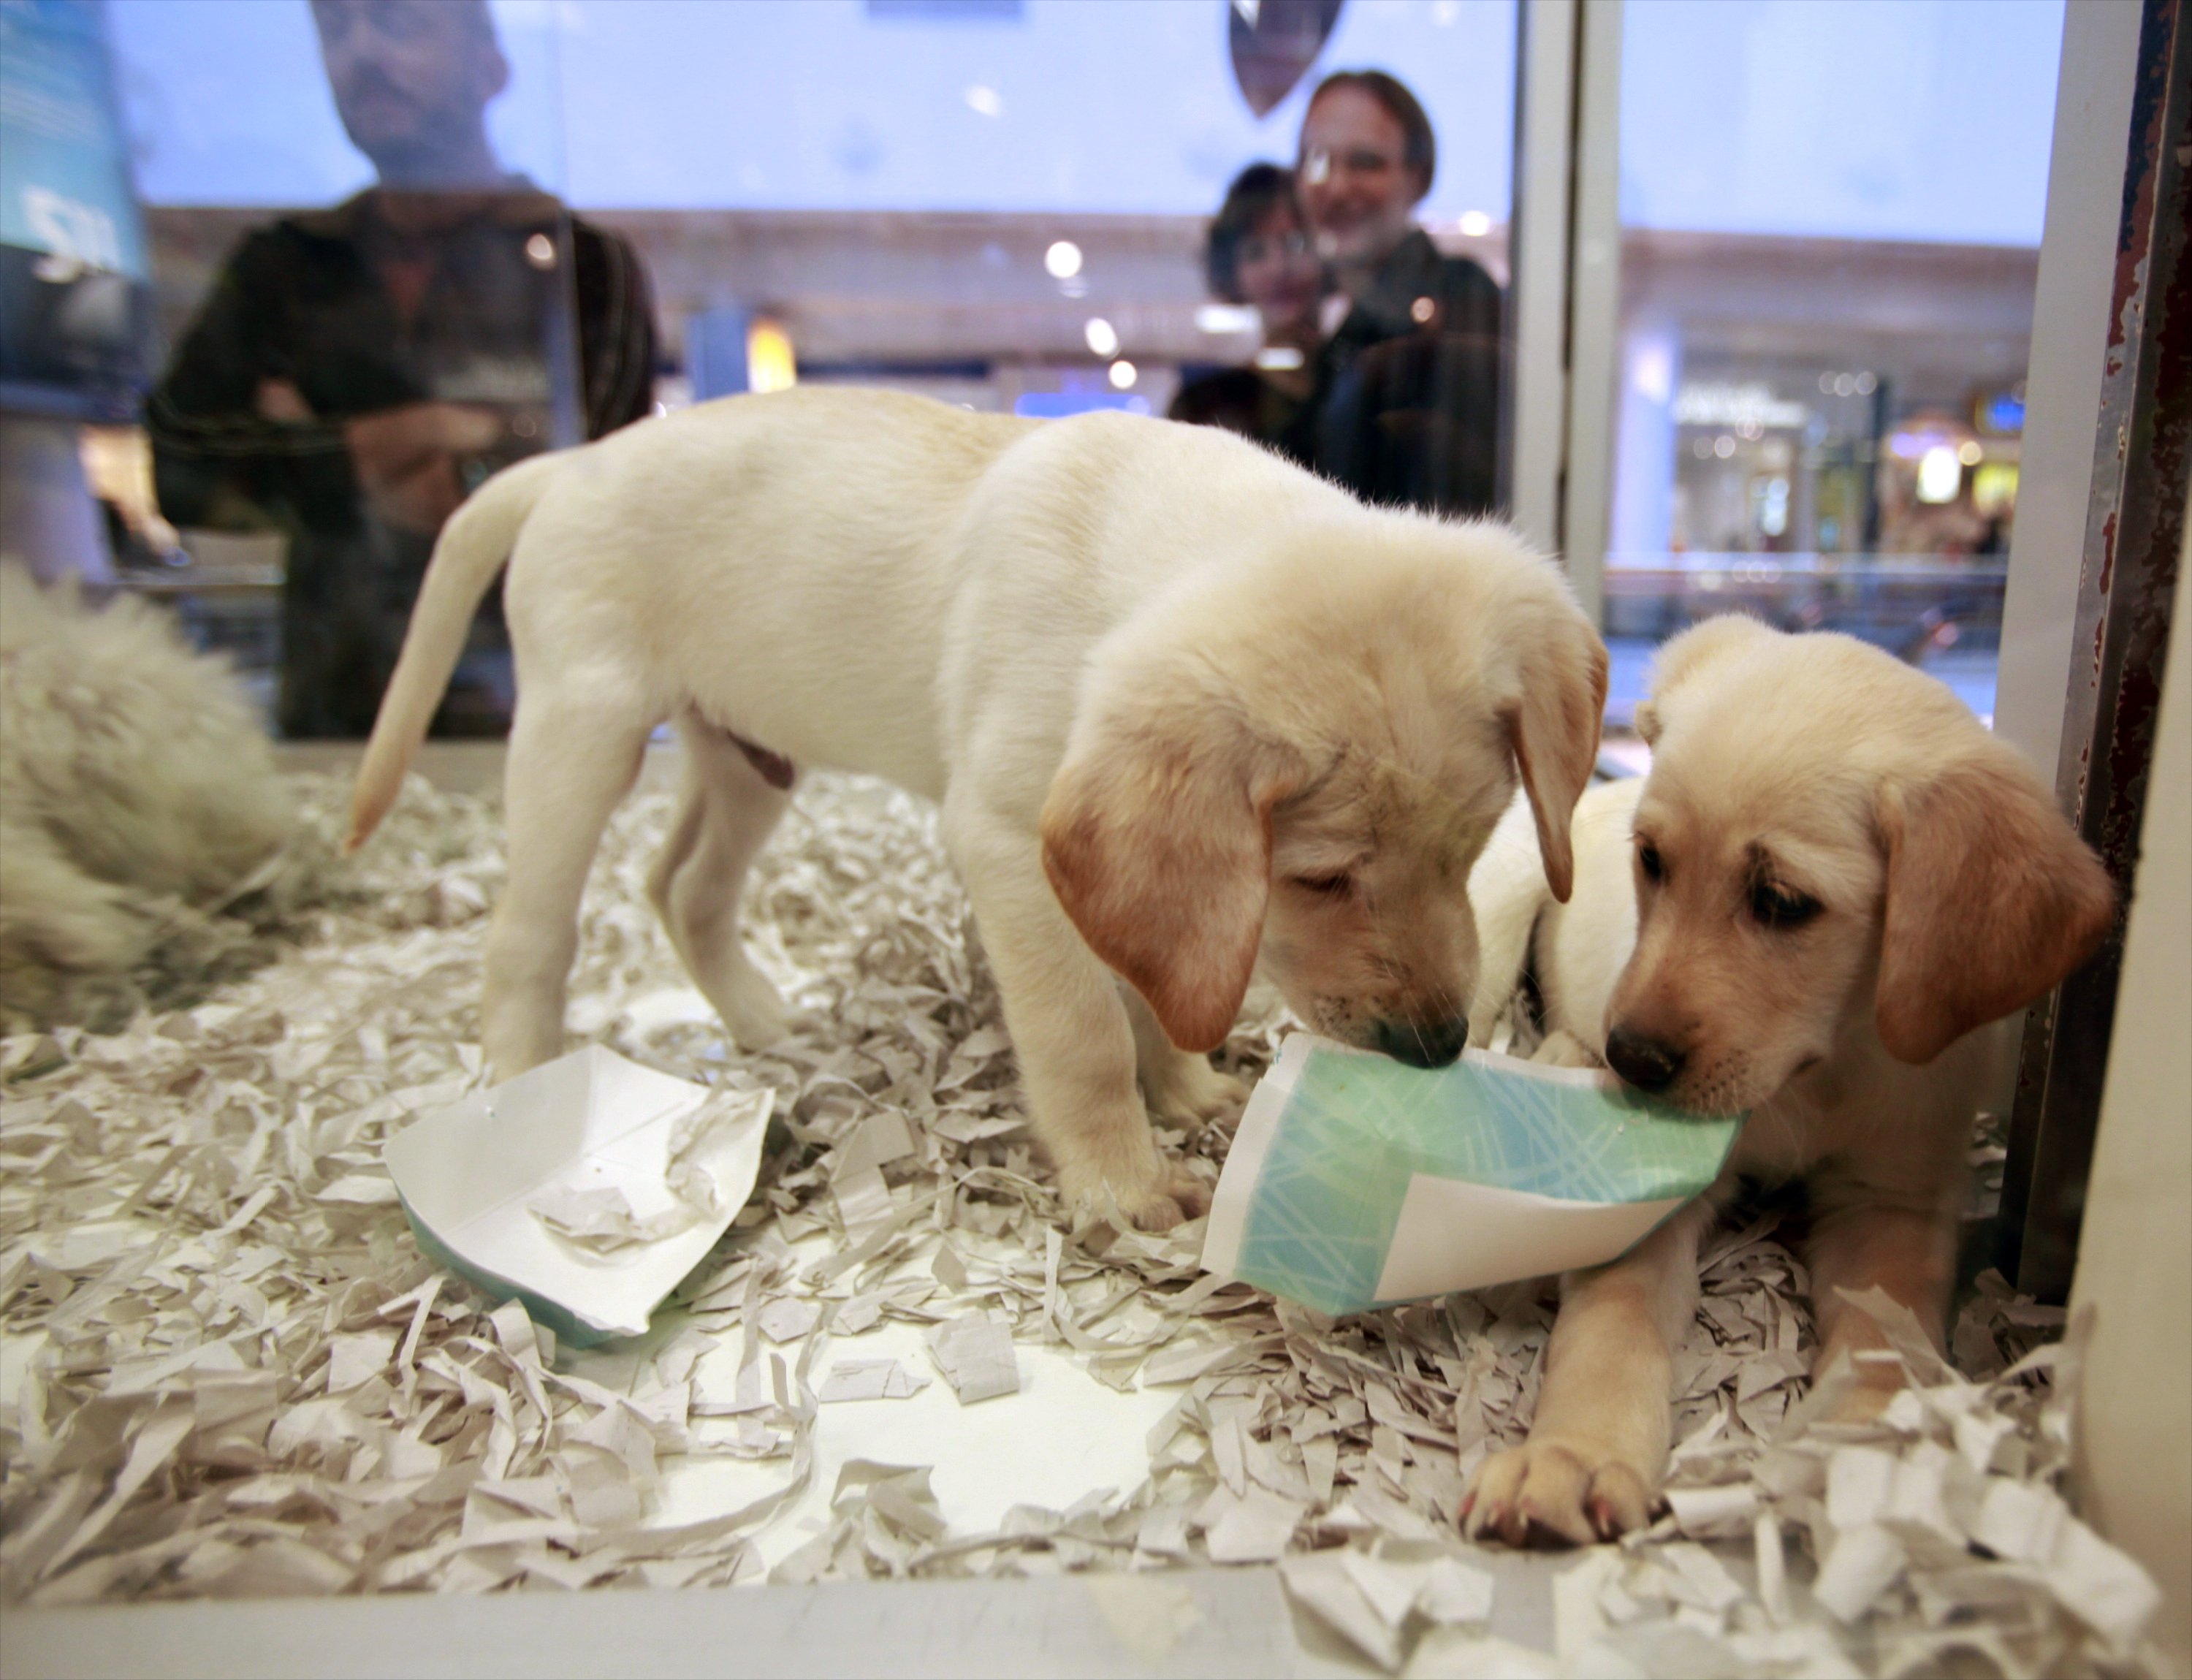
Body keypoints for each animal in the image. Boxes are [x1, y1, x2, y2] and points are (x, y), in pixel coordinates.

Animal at [346, 395, 1613, 1236]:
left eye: (1473, 847)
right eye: (1318, 879)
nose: (1438, 1046)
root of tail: (573, 459)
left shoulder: (1106, 867)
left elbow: (1155, 973)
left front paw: (1190, 1089)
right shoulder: (1011, 839)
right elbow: (1084, 1028)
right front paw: (1121, 1181)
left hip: (747, 756)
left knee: (682, 886)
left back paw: (771, 1027)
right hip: (584, 726)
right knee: (531, 932)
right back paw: (519, 1089)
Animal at [1455, 623, 2104, 1552]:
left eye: (1783, 901)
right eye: (1652, 861)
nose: (1634, 1059)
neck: (1821, 1072)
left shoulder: (1893, 1196)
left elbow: (1884, 1332)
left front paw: (1871, 1451)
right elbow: (1613, 1323)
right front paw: (1571, 1456)